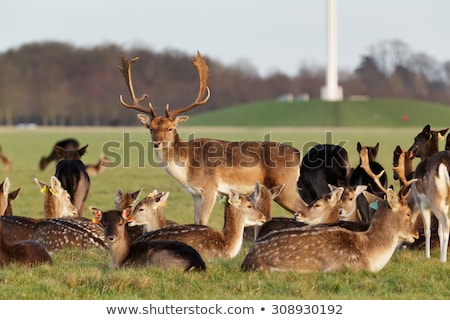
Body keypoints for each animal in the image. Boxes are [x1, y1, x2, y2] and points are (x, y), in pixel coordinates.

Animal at [118, 50, 306, 225]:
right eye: (151, 128)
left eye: (170, 128)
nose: (157, 143)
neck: (186, 169)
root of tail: (298, 154)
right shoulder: (194, 193)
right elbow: (195, 220)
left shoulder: (210, 188)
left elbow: (203, 221)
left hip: (286, 187)